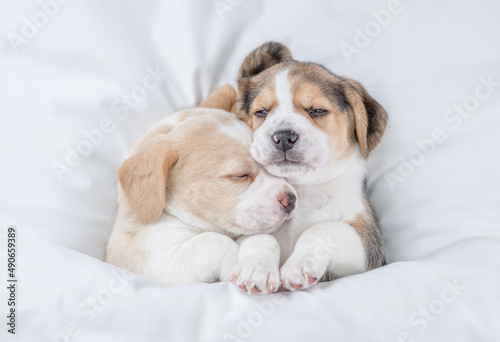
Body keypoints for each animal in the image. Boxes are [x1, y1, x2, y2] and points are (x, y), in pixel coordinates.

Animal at [103, 88, 294, 294]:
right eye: (240, 175)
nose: (291, 200)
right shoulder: (160, 266)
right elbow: (215, 241)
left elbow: (263, 238)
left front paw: (257, 267)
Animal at [232, 41, 388, 290]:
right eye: (261, 112)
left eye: (317, 110)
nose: (283, 137)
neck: (303, 190)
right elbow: (260, 236)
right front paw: (255, 268)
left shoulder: (370, 245)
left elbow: (324, 228)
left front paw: (298, 266)